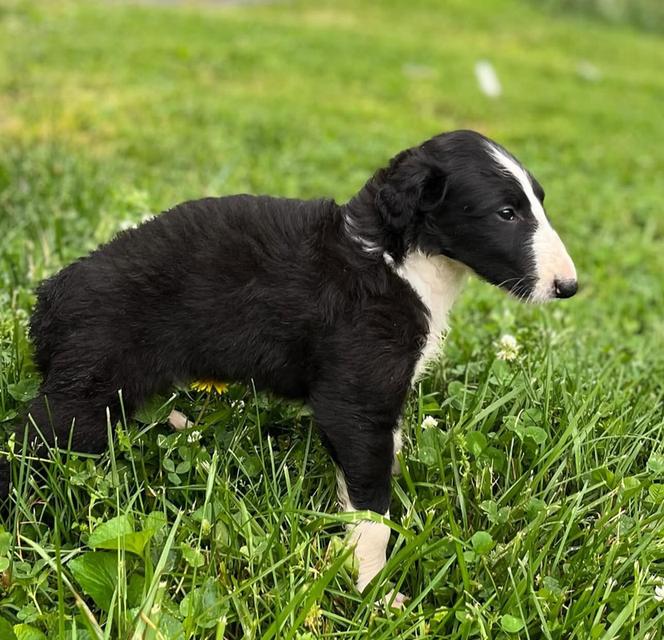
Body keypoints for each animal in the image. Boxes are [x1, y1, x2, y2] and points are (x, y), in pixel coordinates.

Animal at [1, 131, 576, 604]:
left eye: (539, 203)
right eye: (506, 213)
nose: (568, 287)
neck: (395, 259)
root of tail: (48, 300)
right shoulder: (354, 399)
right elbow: (372, 511)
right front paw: (374, 591)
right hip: (87, 392)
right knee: (30, 441)